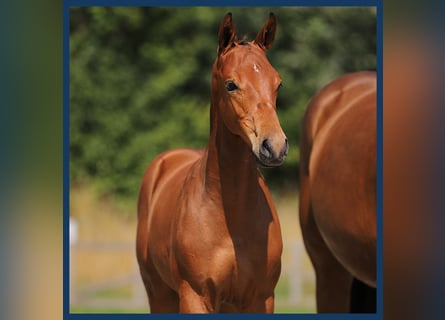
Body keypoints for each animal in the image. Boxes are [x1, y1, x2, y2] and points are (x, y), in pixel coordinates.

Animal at [136, 12, 288, 312]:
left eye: (277, 83)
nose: (274, 146)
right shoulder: (195, 295)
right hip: (159, 293)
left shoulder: (261, 298)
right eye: (231, 84)